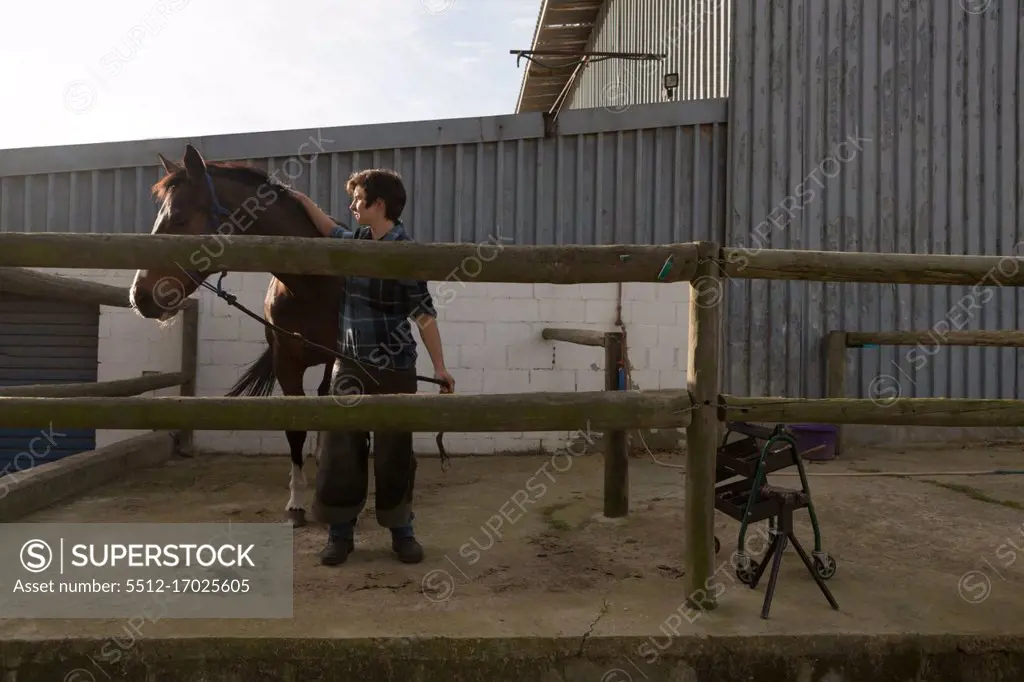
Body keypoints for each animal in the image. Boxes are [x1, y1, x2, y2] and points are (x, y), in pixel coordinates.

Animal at [130, 142, 337, 524]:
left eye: (178, 217)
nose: (140, 296)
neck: (312, 287)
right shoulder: (286, 364)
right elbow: (296, 427)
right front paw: (296, 502)